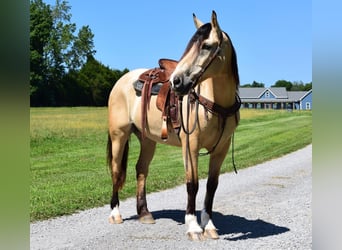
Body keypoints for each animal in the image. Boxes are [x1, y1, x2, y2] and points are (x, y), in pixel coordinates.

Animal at [107, 11, 240, 240]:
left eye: (206, 46)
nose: (176, 82)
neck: (214, 102)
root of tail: (121, 81)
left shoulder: (221, 149)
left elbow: (212, 185)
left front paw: (209, 225)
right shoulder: (191, 146)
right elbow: (192, 184)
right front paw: (193, 226)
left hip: (147, 140)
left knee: (141, 169)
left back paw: (144, 213)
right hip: (119, 136)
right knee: (116, 171)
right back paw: (115, 214)